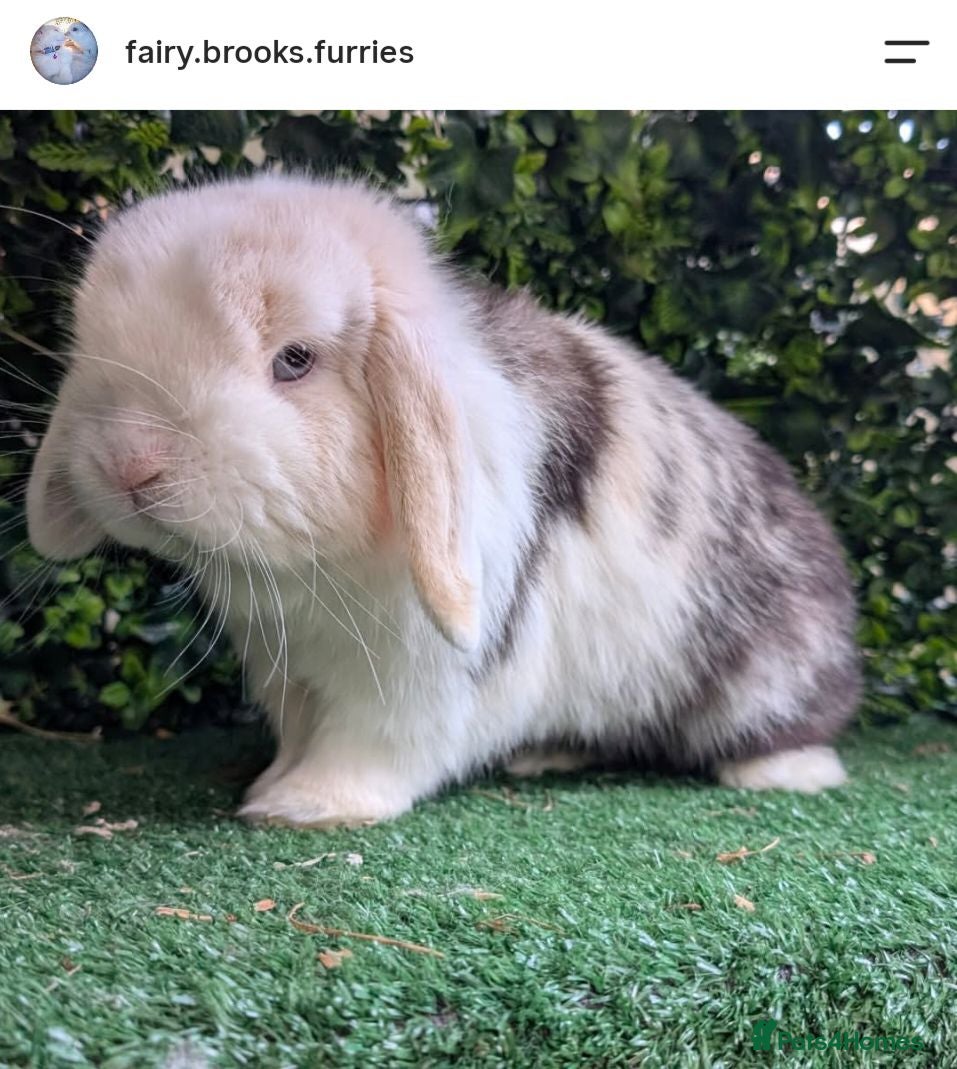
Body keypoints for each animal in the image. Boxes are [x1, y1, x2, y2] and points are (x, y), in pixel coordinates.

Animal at [26, 175, 861, 827]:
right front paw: (273, 781)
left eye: (294, 360)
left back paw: (784, 772)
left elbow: (374, 742)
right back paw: (543, 755)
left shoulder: (408, 677)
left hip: (763, 675)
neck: (314, 569)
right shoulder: (289, 667)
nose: (130, 463)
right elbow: (298, 733)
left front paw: (304, 807)